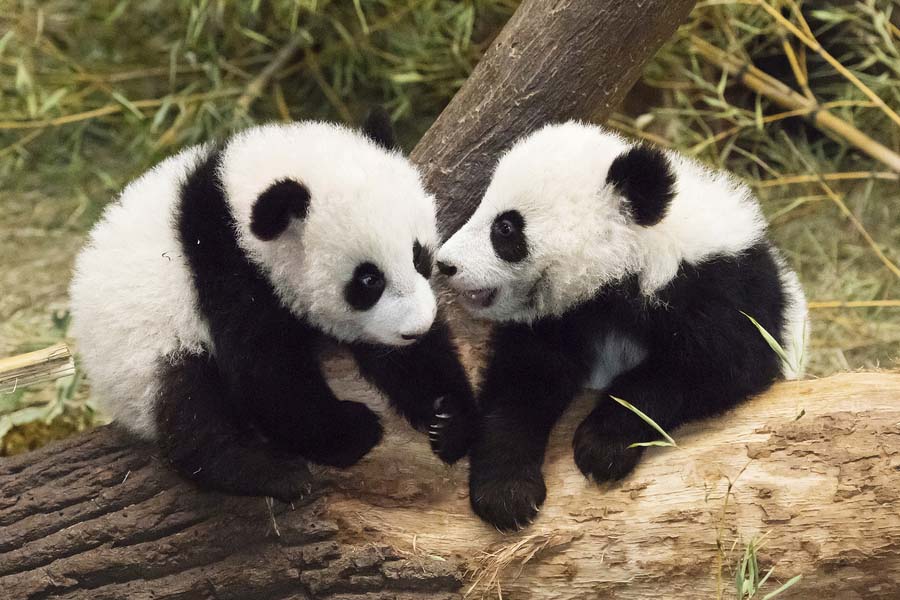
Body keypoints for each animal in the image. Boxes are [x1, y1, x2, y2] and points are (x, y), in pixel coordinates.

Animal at [70, 111, 475, 501]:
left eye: (419, 256)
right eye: (368, 281)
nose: (415, 329)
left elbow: (404, 358)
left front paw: (446, 417)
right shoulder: (228, 277)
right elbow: (267, 372)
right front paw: (350, 431)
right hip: (144, 352)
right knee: (191, 404)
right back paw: (266, 471)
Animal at [436, 121, 808, 531]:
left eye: (505, 228)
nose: (445, 264)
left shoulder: (719, 291)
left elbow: (707, 369)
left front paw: (603, 446)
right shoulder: (555, 320)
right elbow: (521, 384)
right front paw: (506, 493)